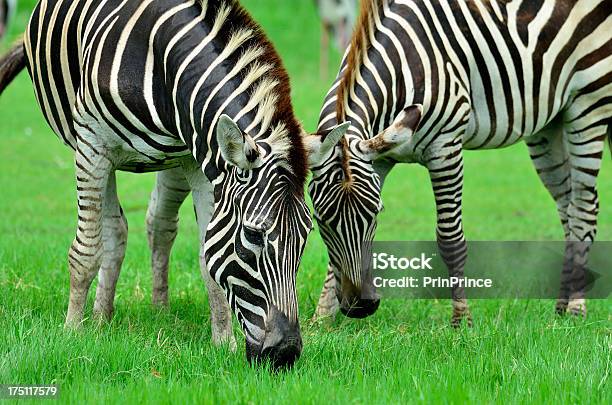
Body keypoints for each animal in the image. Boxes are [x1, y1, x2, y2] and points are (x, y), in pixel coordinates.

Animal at [0, 0, 346, 366]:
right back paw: (99, 319)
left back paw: (156, 311)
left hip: (173, 160)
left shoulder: (201, 158)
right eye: (253, 235)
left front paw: (224, 342)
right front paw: (72, 333)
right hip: (88, 149)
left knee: (158, 224)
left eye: (305, 235)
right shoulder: (94, 144)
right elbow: (86, 252)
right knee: (114, 230)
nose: (286, 353)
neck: (162, 65)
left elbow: (208, 257)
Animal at [308, 0, 612, 324]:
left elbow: (450, 239)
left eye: (376, 214)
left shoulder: (445, 148)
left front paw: (462, 319)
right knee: (568, 208)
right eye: (321, 221)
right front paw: (322, 319)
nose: (360, 306)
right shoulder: (379, 158)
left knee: (584, 207)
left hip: (589, 104)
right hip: (550, 123)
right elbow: (335, 261)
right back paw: (561, 307)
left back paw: (577, 307)